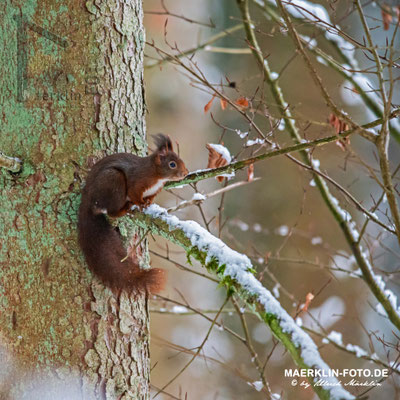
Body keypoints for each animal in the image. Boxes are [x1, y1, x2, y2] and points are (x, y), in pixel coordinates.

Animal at [79, 134, 189, 294]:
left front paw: (148, 203)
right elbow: (134, 194)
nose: (186, 173)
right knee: (112, 212)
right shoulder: (136, 182)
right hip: (114, 181)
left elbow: (150, 198)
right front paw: (141, 204)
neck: (156, 175)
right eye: (172, 164)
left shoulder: (154, 191)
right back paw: (125, 208)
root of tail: (88, 199)